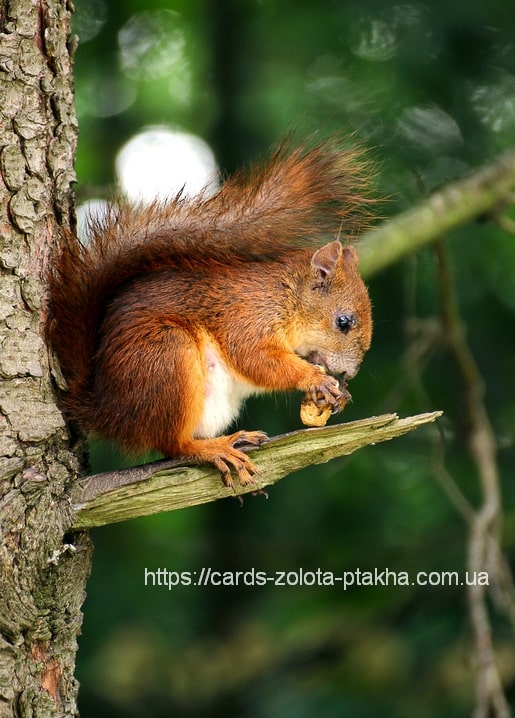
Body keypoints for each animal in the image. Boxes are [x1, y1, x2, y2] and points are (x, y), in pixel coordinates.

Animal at [46, 140, 374, 487]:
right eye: (343, 322)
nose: (350, 373)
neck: (286, 295)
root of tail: (108, 411)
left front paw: (339, 394)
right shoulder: (247, 316)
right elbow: (256, 358)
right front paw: (315, 379)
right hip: (166, 357)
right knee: (173, 445)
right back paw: (215, 448)